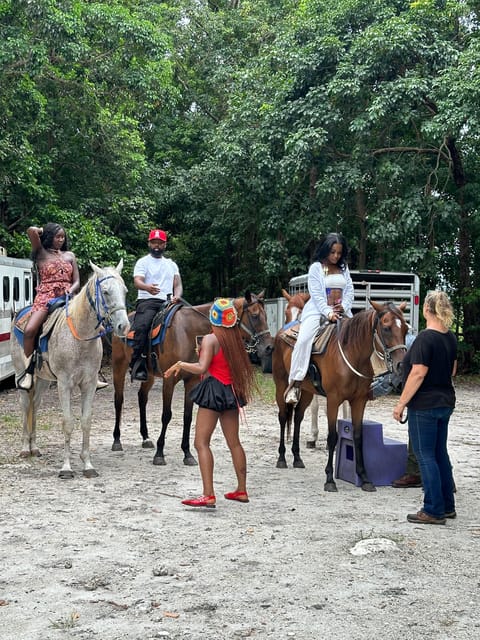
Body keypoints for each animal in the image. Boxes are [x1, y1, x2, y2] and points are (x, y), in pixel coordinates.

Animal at [11, 260, 130, 476]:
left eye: (124, 290)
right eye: (106, 292)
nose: (123, 326)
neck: (80, 337)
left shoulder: (89, 384)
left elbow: (86, 421)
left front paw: (88, 464)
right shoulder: (64, 384)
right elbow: (67, 422)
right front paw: (66, 467)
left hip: (43, 380)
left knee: (36, 405)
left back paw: (34, 447)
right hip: (20, 375)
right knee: (25, 405)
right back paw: (25, 448)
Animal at [110, 292, 272, 464]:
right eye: (255, 316)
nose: (269, 347)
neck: (189, 331)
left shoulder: (191, 381)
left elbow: (187, 416)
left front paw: (187, 453)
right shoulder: (169, 380)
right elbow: (166, 415)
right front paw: (159, 454)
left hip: (149, 375)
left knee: (142, 398)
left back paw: (146, 438)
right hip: (118, 366)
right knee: (119, 400)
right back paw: (117, 440)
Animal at [272, 302, 406, 492]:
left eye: (406, 329)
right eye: (386, 328)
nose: (401, 365)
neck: (353, 354)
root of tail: (281, 332)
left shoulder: (359, 401)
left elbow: (358, 437)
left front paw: (364, 478)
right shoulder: (333, 400)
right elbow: (332, 437)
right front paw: (329, 479)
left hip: (307, 391)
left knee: (298, 417)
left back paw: (297, 458)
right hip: (281, 384)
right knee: (284, 417)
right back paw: (282, 458)